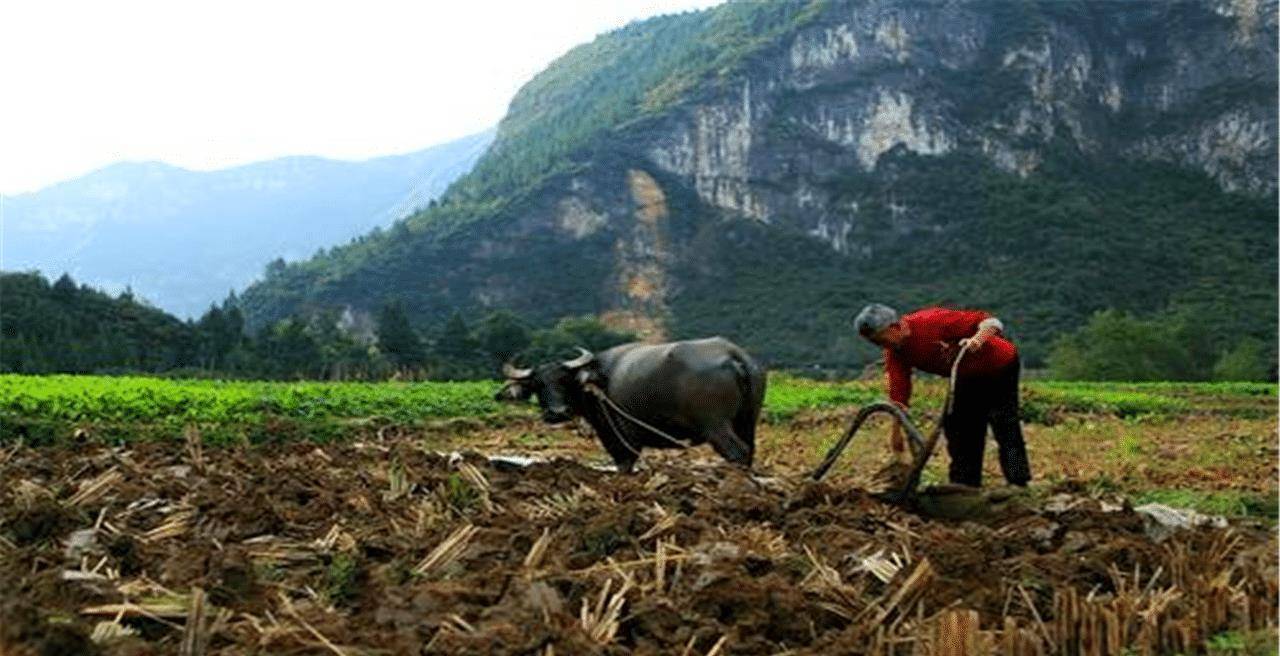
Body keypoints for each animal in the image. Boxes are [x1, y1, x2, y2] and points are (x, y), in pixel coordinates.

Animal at [494, 338, 762, 471]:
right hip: (747, 421)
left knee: (737, 452)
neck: (597, 380)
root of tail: (733, 356)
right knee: (749, 451)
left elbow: (624, 464)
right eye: (537, 384)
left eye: (565, 380)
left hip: (716, 425)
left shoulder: (621, 438)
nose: (557, 413)